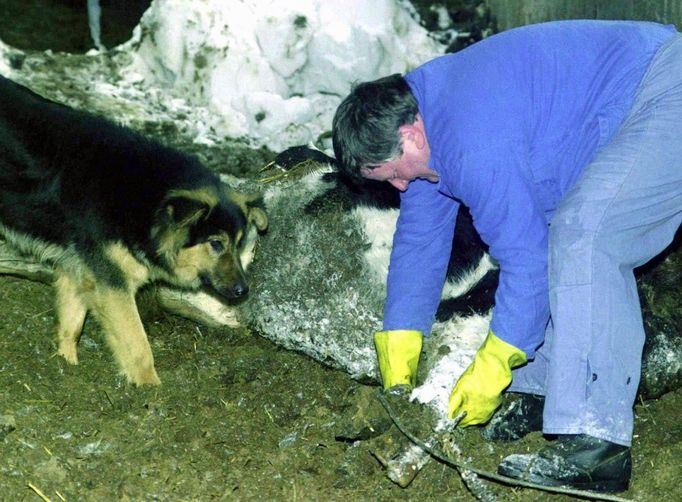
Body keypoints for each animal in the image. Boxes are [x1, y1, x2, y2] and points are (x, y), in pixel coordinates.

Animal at [0, 75, 266, 384]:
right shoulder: (112, 283)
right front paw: (150, 388)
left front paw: (66, 366)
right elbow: (138, 346)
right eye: (216, 243)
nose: (243, 291)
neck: (142, 198)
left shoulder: (81, 268)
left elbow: (72, 325)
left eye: (238, 244)